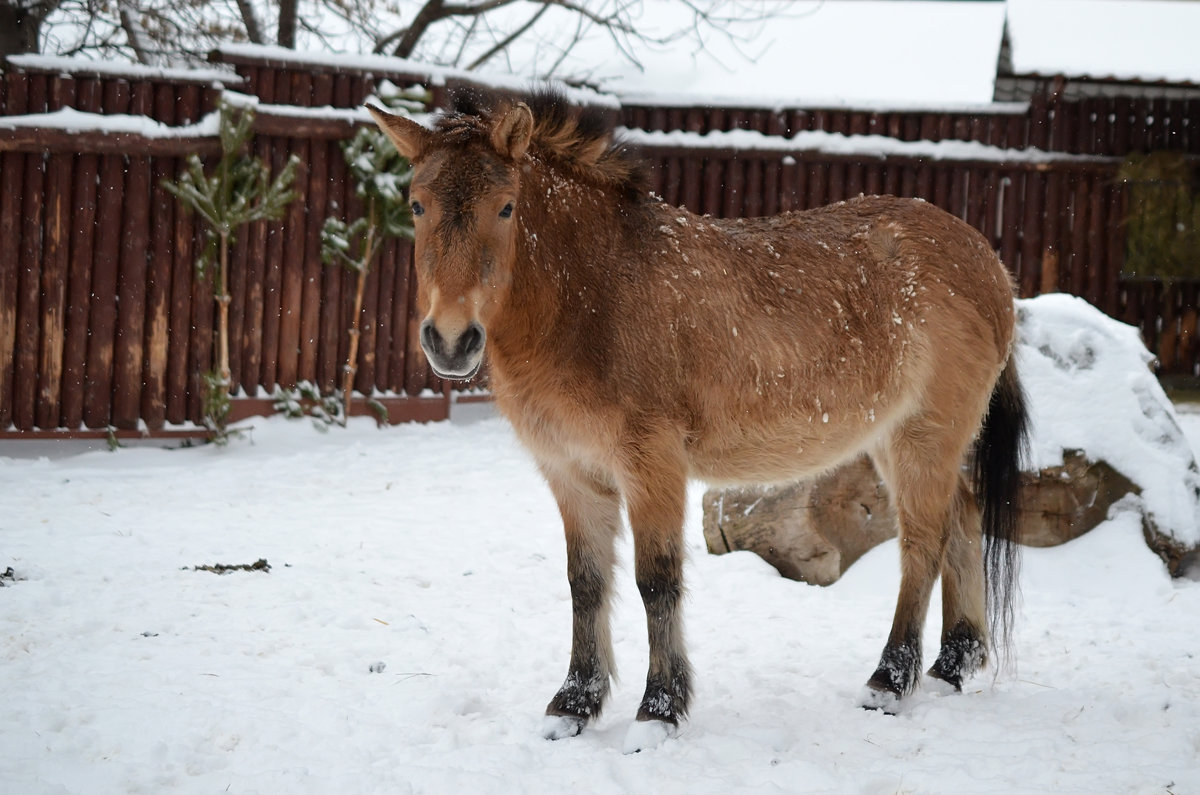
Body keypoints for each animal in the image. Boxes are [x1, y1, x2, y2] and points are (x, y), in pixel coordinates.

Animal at [369, 88, 1027, 754]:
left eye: (506, 207)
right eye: (417, 204)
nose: (451, 341)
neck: (596, 294)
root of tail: (988, 261)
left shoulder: (652, 463)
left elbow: (656, 580)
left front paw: (658, 710)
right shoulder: (572, 473)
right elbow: (586, 582)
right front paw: (574, 705)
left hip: (924, 435)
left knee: (922, 543)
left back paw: (890, 681)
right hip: (899, 440)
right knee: (963, 517)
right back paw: (952, 664)